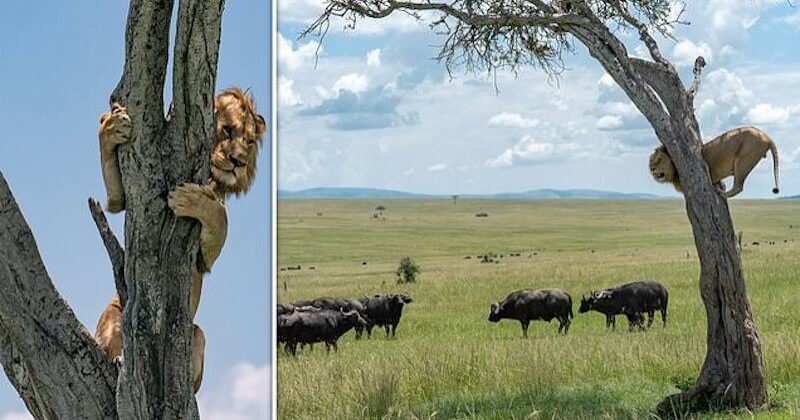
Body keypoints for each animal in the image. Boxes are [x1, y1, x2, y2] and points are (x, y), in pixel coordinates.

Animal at [90, 87, 266, 392]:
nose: (239, 162)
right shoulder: (123, 197)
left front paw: (188, 198)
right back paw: (119, 358)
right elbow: (116, 194)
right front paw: (111, 127)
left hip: (197, 334)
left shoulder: (205, 257)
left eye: (250, 141)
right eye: (227, 130)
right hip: (114, 312)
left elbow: (221, 216)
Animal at [648, 125, 780, 199]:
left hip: (743, 160)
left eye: (659, 160)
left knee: (738, 187)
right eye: (650, 163)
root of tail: (767, 136)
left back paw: (721, 193)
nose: (652, 169)